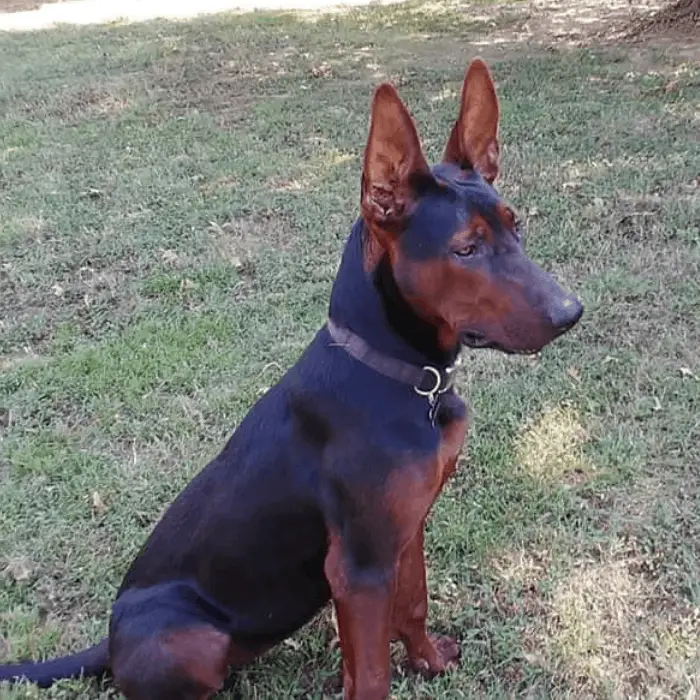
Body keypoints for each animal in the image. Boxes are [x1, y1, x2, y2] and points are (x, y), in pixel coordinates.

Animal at [0, 60, 580, 700]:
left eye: (514, 226)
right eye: (466, 249)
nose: (571, 312)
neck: (407, 380)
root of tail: (107, 643)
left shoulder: (404, 531)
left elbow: (413, 605)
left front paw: (428, 662)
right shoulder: (358, 565)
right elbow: (370, 676)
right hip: (190, 638)